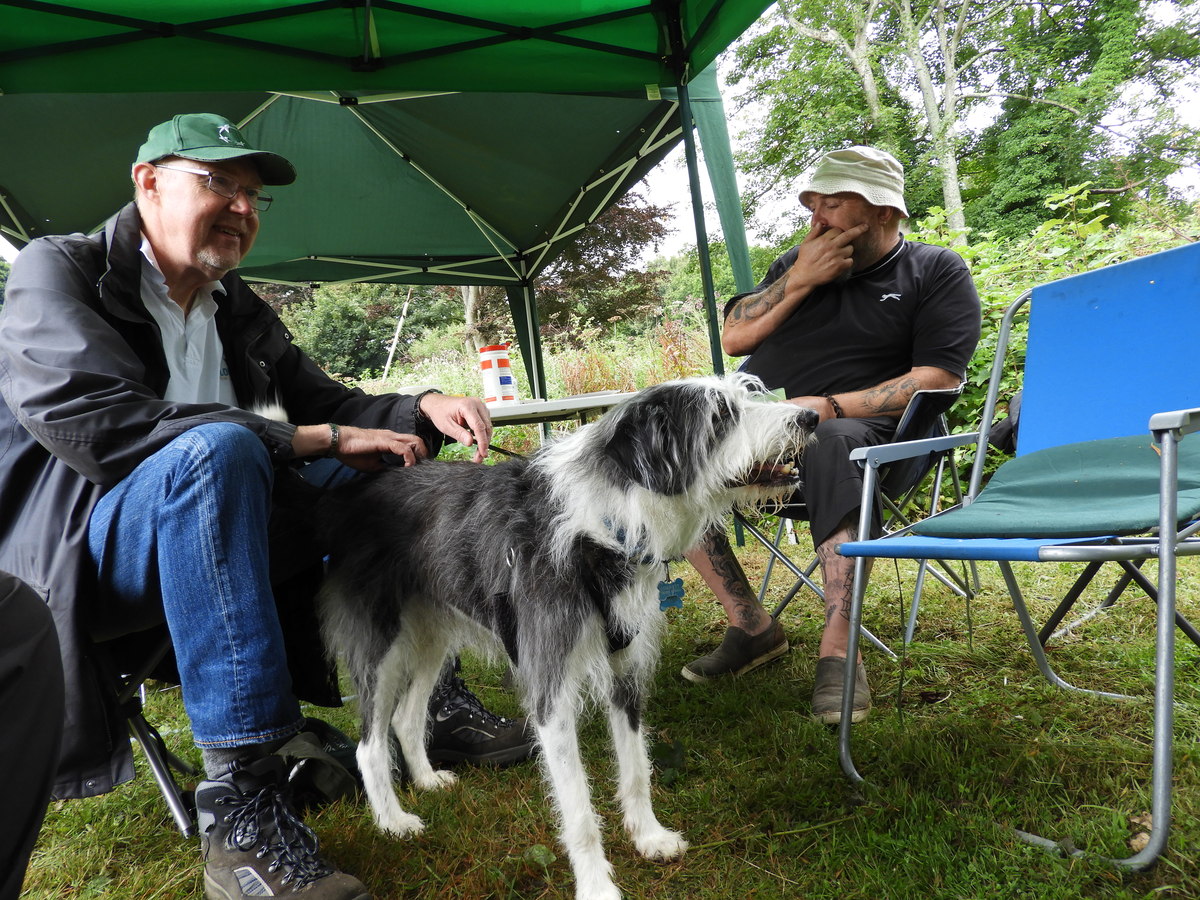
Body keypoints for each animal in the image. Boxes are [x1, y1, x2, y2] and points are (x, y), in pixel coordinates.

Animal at [312, 374, 816, 900]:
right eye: (721, 415)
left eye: (746, 394)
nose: (809, 417)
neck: (606, 526)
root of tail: (352, 496)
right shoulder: (550, 690)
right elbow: (578, 809)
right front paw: (596, 885)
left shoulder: (625, 671)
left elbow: (636, 768)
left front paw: (648, 836)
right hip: (383, 649)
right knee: (369, 744)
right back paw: (392, 821)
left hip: (432, 637)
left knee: (407, 717)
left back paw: (428, 781)